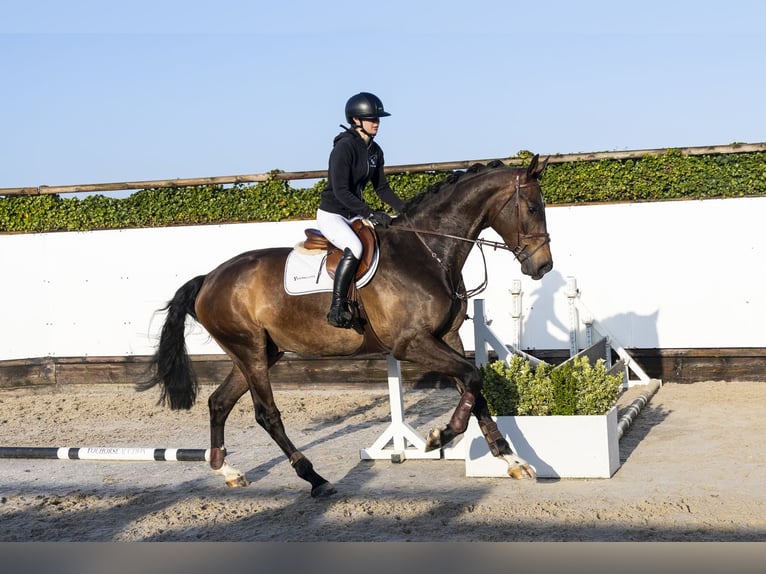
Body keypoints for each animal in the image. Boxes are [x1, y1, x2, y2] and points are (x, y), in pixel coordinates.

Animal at [138, 154, 553, 497]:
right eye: (533, 207)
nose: (542, 266)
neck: (428, 251)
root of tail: (208, 278)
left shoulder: (445, 336)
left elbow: (473, 387)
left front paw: (512, 461)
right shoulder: (411, 343)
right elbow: (471, 377)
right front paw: (439, 437)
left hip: (259, 352)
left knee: (219, 402)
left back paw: (228, 472)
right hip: (250, 351)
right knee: (266, 414)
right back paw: (314, 478)